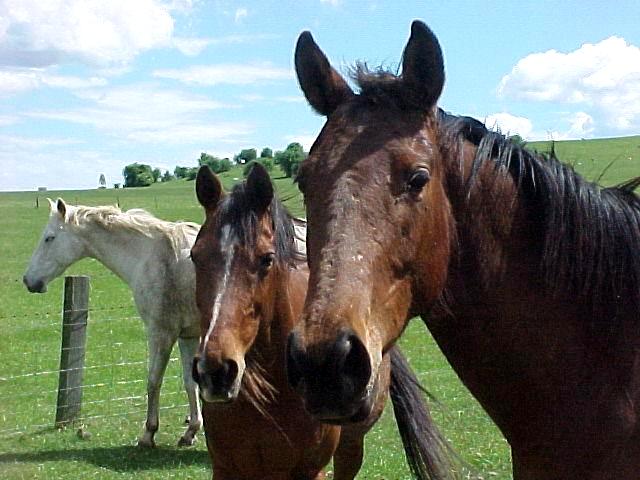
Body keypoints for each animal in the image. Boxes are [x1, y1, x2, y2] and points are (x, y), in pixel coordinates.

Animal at [23, 198, 202, 446]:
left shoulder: (161, 333)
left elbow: (153, 381)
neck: (154, 256)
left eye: (49, 238)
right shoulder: (188, 335)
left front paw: (148, 433)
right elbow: (190, 382)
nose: (28, 280)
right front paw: (190, 431)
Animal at [189, 163, 456, 478]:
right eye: (195, 257)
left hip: (351, 447)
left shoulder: (311, 469)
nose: (215, 370)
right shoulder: (225, 469)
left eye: (266, 259)